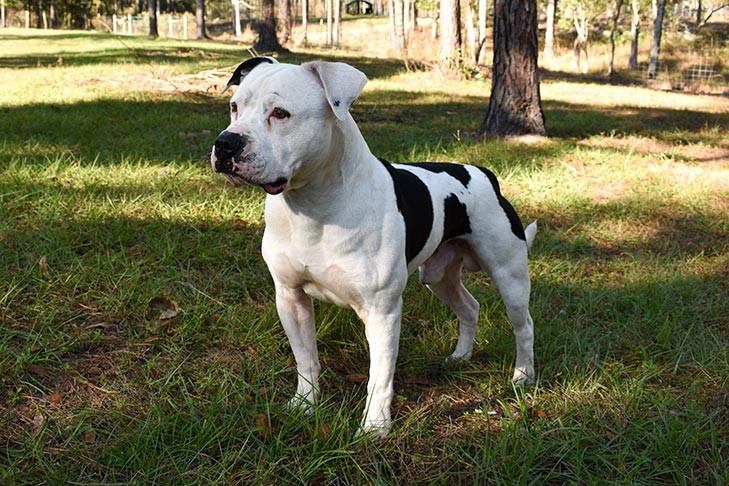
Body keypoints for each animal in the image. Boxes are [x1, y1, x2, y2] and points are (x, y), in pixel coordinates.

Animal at [210, 57, 536, 436]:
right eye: (235, 107)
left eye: (280, 113)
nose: (225, 142)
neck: (313, 204)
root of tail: (484, 172)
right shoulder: (290, 297)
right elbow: (306, 358)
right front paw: (305, 404)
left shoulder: (382, 312)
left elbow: (379, 376)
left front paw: (374, 427)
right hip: (438, 275)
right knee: (469, 307)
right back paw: (460, 357)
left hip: (509, 275)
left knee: (523, 325)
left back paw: (523, 375)